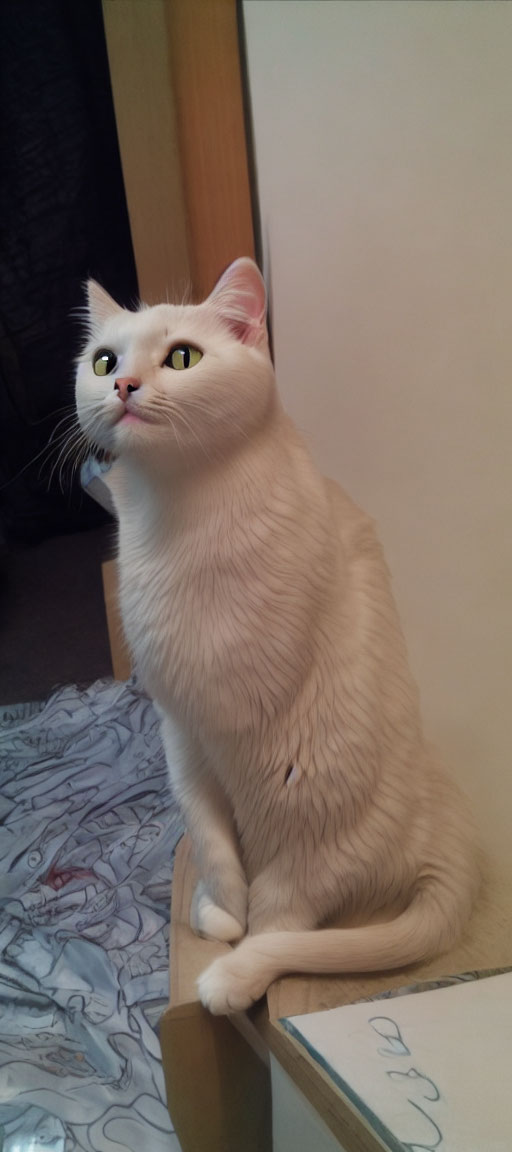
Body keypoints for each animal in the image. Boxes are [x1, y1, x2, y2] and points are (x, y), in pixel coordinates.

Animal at [76, 256, 479, 1013]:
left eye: (182, 357)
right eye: (103, 360)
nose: (122, 385)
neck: (178, 516)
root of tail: (446, 824)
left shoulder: (247, 729)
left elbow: (261, 889)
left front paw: (235, 943)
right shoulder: (181, 731)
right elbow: (209, 837)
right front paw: (218, 909)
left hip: (323, 814)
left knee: (290, 911)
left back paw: (236, 976)